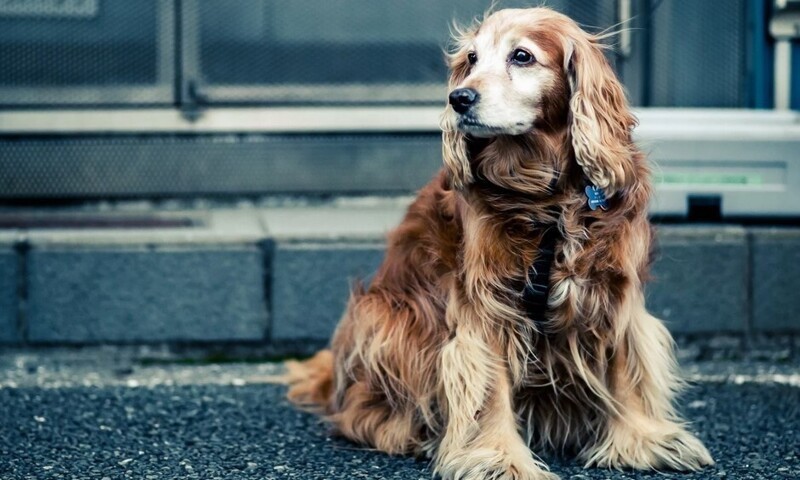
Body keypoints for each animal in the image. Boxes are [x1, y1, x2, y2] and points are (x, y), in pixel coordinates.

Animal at [286, 7, 712, 480]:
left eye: (521, 56)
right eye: (471, 58)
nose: (459, 98)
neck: (547, 198)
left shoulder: (614, 287)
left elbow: (626, 365)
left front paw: (644, 439)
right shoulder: (486, 302)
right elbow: (488, 386)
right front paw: (499, 458)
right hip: (384, 316)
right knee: (364, 413)